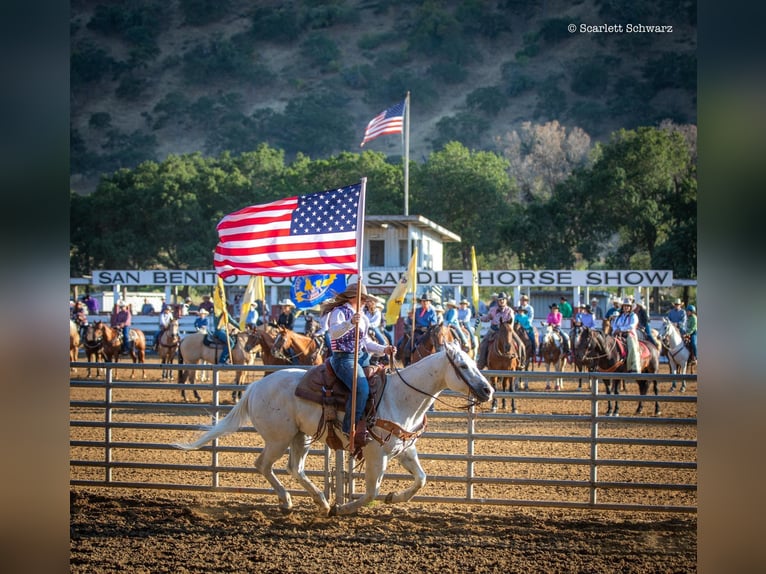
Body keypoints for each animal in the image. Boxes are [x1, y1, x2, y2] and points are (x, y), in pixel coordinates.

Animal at [175, 344, 496, 520]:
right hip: (279, 438)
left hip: (301, 437)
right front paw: (345, 509)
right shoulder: (376, 453)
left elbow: (421, 479)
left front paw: (394, 498)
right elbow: (371, 492)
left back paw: (321, 500)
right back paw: (289, 501)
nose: (488, 390)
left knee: (294, 468)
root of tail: (255, 386)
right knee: (263, 465)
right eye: (463, 364)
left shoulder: (403, 450)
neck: (400, 396)